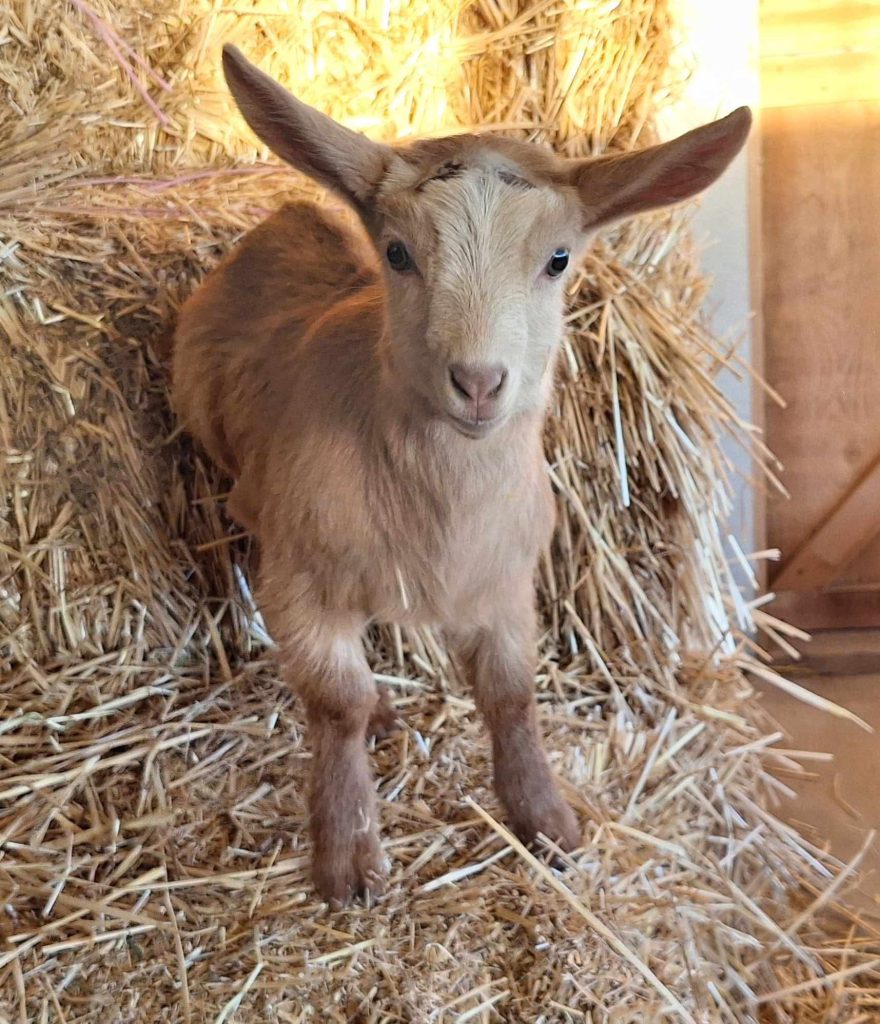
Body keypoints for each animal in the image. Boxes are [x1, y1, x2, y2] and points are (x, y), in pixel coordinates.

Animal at [172, 44, 751, 904]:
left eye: (557, 259)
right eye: (398, 253)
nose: (478, 383)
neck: (440, 510)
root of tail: (289, 217)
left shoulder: (507, 584)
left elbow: (511, 696)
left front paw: (548, 823)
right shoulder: (303, 583)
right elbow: (336, 704)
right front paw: (347, 856)